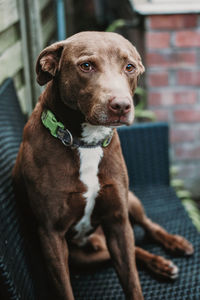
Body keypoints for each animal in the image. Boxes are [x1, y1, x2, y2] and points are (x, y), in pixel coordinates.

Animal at [12, 32, 194, 300]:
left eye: (129, 67)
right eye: (86, 65)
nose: (121, 105)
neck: (86, 143)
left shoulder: (118, 221)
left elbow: (132, 281)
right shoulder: (51, 235)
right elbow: (65, 289)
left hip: (130, 202)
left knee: (147, 226)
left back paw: (173, 244)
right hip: (87, 254)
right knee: (128, 251)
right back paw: (158, 263)